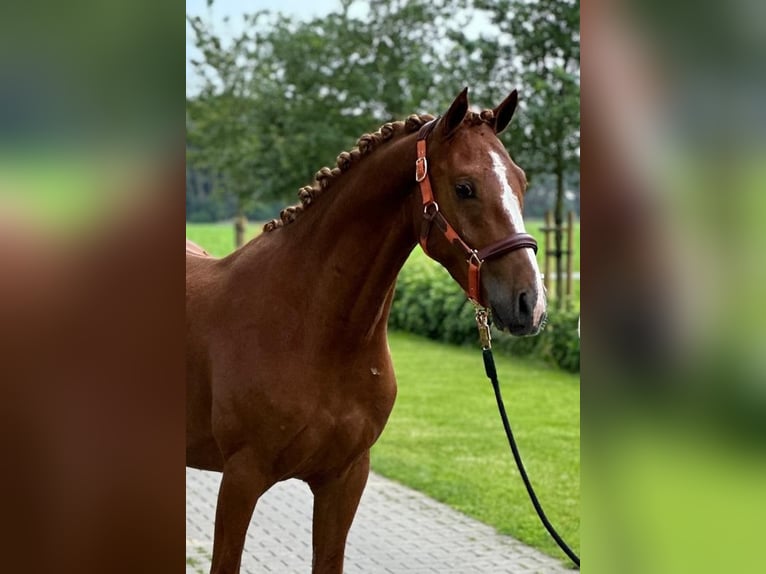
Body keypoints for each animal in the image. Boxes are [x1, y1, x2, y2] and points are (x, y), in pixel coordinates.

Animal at [186, 88, 544, 572]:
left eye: (521, 182)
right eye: (465, 187)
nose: (530, 303)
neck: (312, 333)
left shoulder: (346, 479)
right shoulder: (241, 478)